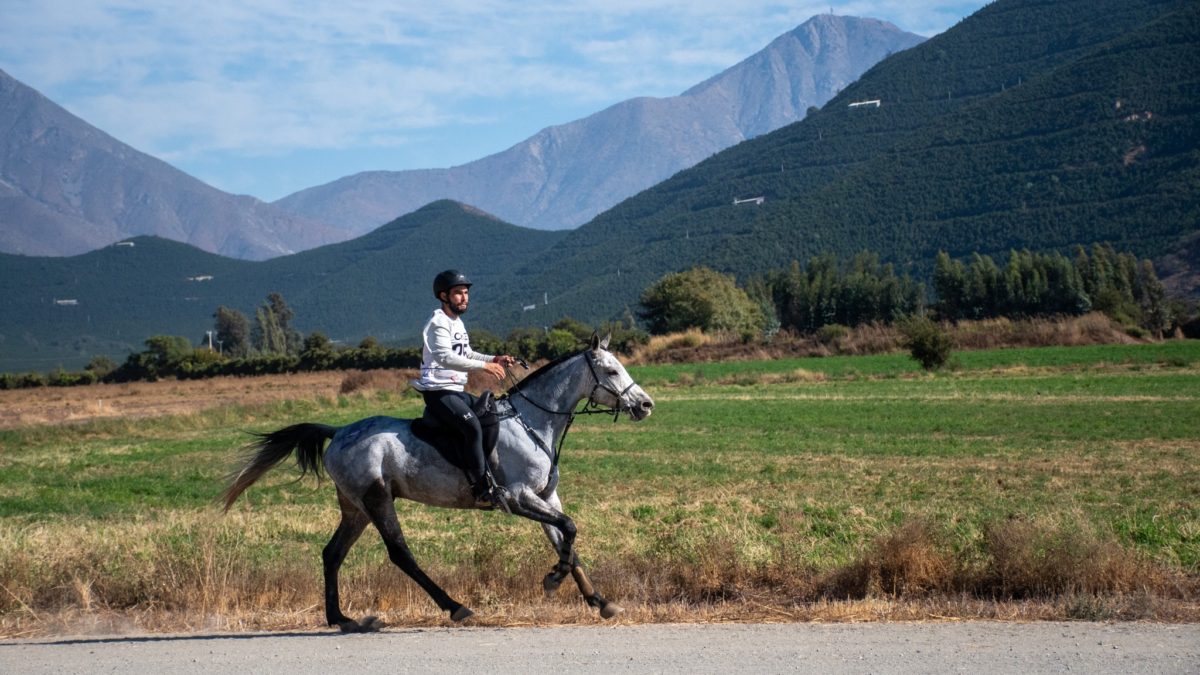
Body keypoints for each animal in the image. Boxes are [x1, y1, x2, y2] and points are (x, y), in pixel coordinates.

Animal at [220, 331, 652, 629]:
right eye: (611, 370)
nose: (645, 405)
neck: (532, 421)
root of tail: (339, 431)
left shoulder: (547, 496)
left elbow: (567, 541)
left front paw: (599, 601)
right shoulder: (519, 497)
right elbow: (570, 529)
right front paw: (552, 580)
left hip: (355, 507)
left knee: (332, 554)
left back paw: (341, 619)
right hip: (378, 500)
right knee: (400, 554)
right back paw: (455, 607)